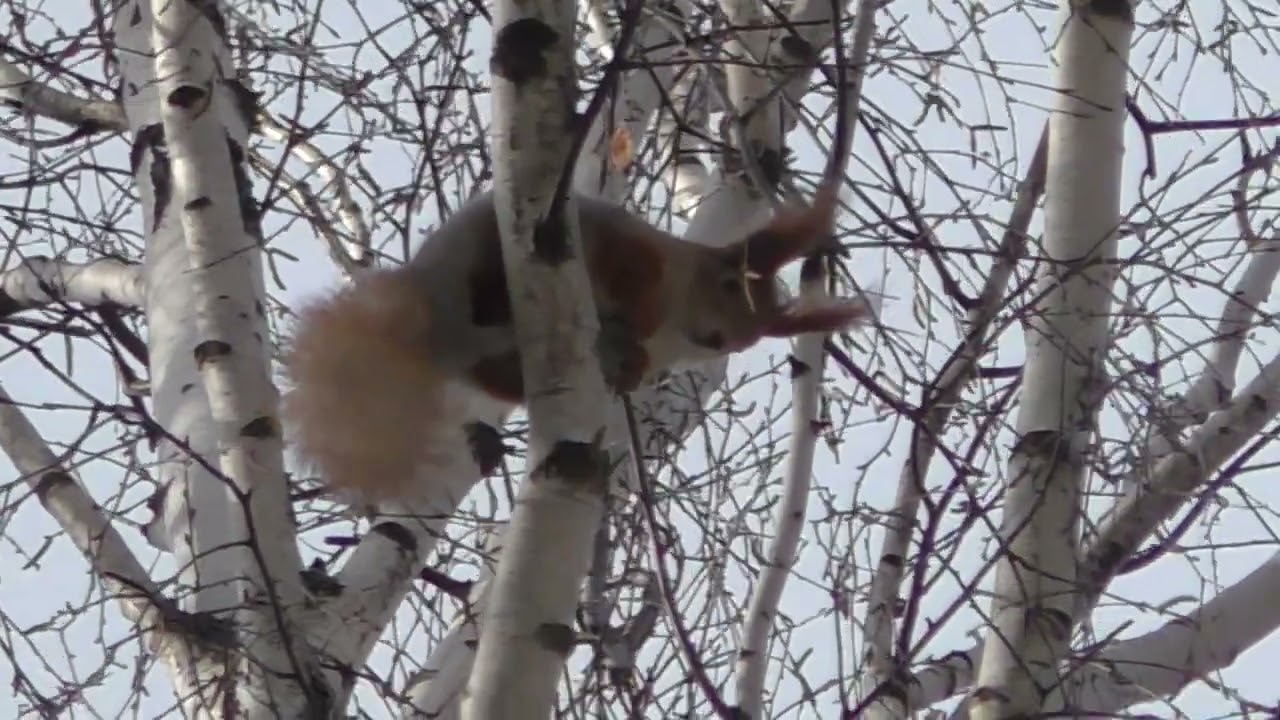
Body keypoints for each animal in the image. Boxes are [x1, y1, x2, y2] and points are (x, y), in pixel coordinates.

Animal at [280, 187, 874, 504]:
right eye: (730, 283)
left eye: (765, 332)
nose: (732, 337)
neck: (675, 323)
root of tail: (435, 324)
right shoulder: (626, 247)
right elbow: (631, 273)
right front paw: (637, 318)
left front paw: (631, 366)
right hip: (477, 257)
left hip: (488, 355)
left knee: (497, 374)